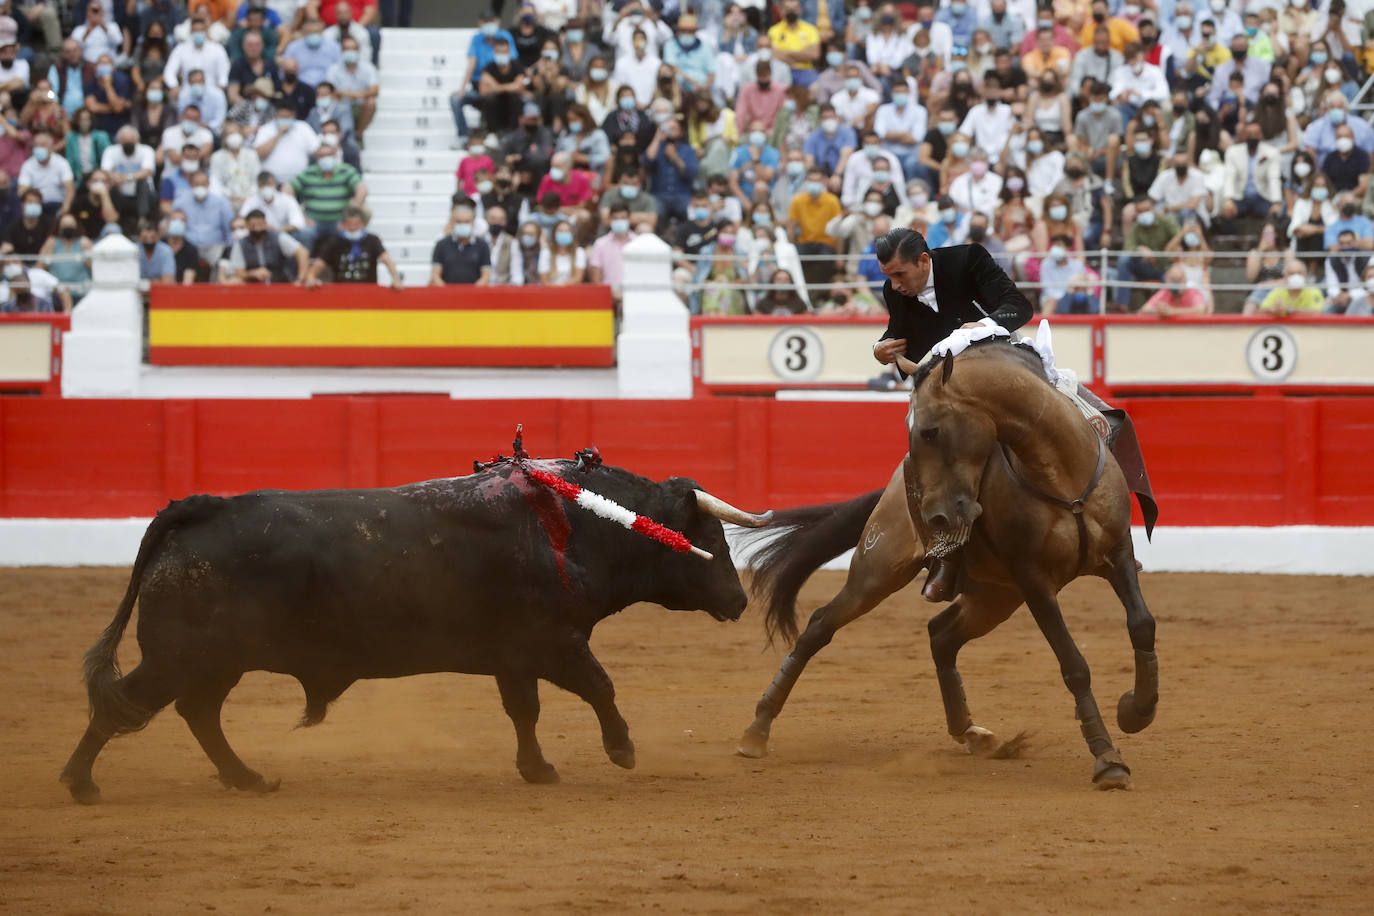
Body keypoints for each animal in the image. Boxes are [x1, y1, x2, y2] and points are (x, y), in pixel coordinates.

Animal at [59, 453, 774, 802]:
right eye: (711, 538)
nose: (738, 601)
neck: (572, 526)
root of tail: (197, 509)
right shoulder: (555, 642)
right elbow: (601, 687)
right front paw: (621, 750)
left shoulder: (515, 655)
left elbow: (525, 711)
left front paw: (537, 768)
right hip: (181, 655)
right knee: (124, 706)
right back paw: (82, 783)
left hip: (214, 661)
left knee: (198, 713)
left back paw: (247, 779)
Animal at [741, 339, 1159, 791]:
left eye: (930, 431)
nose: (937, 517)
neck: (1061, 474)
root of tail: (894, 487)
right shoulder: (1035, 582)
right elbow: (1073, 664)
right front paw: (1107, 758)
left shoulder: (1118, 554)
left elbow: (1142, 623)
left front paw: (1136, 710)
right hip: (879, 569)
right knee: (820, 625)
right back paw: (757, 729)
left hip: (995, 597)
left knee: (941, 636)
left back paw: (971, 732)